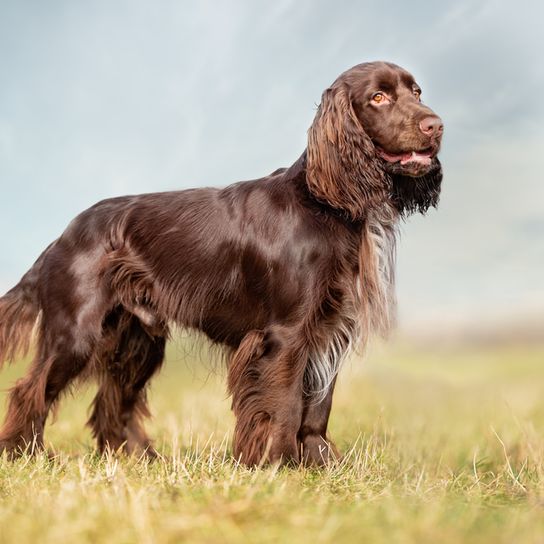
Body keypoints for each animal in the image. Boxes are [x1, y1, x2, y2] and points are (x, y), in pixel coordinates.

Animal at [0, 61, 442, 466]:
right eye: (378, 97)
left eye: (417, 91)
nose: (435, 126)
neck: (324, 202)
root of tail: (63, 236)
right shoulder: (285, 334)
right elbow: (285, 405)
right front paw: (279, 464)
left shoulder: (330, 327)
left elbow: (318, 408)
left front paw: (320, 466)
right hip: (76, 332)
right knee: (30, 389)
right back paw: (24, 453)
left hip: (139, 340)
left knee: (112, 401)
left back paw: (137, 459)